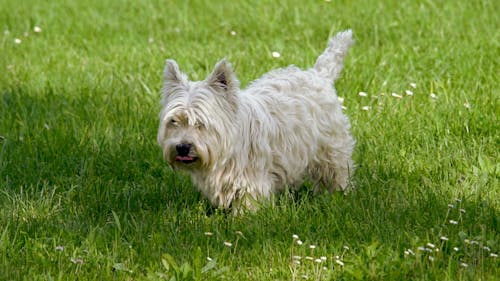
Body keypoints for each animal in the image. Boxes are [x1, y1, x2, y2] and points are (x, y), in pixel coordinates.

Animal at [156, 30, 356, 210]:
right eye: (174, 121)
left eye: (201, 123)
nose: (182, 147)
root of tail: (319, 75)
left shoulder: (251, 179)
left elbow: (248, 203)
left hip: (330, 149)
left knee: (337, 172)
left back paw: (339, 195)